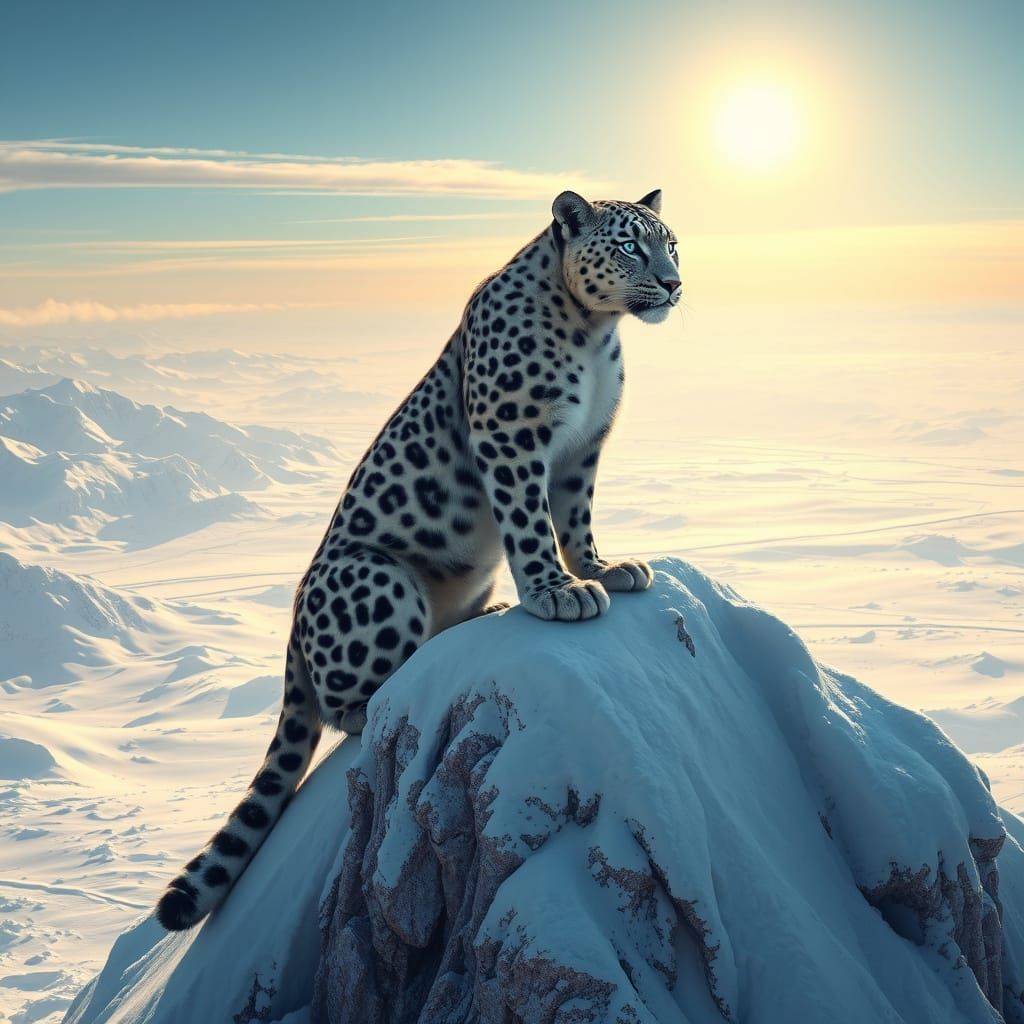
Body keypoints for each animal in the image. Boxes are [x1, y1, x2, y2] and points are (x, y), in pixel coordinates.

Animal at [156, 188, 682, 930]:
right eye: (631, 245)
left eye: (672, 242)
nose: (673, 282)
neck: (594, 331)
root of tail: (291, 629)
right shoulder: (511, 436)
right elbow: (529, 522)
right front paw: (556, 593)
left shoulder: (584, 447)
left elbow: (575, 518)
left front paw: (602, 569)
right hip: (374, 577)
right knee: (346, 706)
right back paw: (390, 684)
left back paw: (480, 614)